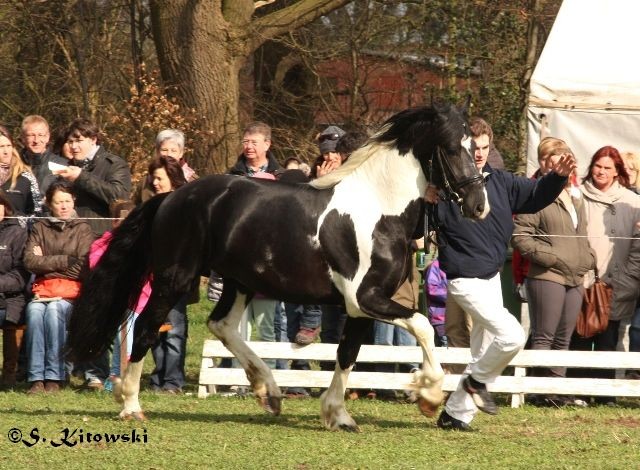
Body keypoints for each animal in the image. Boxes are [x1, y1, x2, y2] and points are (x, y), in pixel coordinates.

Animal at [66, 102, 490, 430]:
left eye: (476, 147)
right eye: (452, 148)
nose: (478, 205)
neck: (377, 210)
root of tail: (171, 198)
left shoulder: (358, 307)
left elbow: (347, 354)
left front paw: (339, 416)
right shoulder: (365, 298)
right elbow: (422, 326)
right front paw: (428, 395)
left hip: (239, 281)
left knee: (221, 325)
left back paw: (268, 392)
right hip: (174, 279)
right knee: (146, 330)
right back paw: (131, 406)